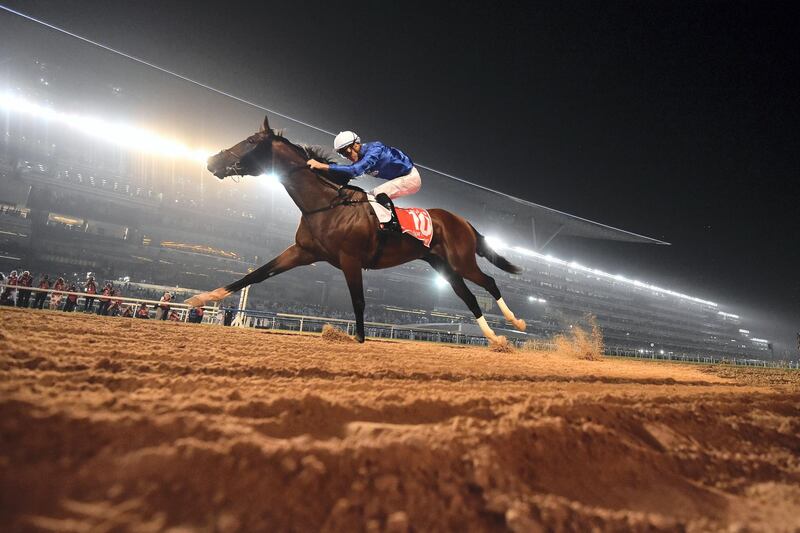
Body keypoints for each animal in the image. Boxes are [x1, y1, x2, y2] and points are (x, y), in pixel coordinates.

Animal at [186, 114, 524, 342]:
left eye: (252, 142)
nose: (212, 161)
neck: (326, 205)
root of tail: (462, 220)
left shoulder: (351, 260)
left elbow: (359, 301)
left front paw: (358, 339)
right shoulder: (302, 251)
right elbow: (255, 274)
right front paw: (201, 298)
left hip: (461, 260)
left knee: (489, 282)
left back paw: (516, 324)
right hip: (441, 264)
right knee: (468, 297)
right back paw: (495, 338)